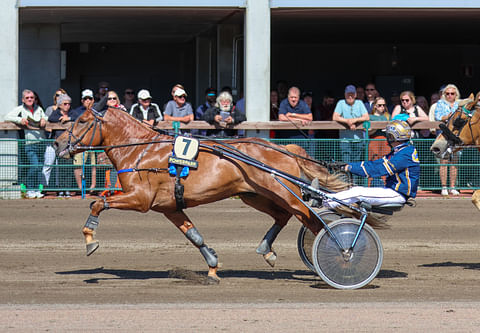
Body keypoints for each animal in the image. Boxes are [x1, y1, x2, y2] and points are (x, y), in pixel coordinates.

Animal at [54, 105, 358, 282]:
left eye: (82, 120)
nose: (57, 143)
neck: (141, 150)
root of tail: (284, 148)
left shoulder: (140, 200)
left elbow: (98, 203)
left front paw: (90, 239)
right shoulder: (169, 207)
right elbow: (194, 235)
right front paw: (212, 266)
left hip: (283, 192)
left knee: (312, 220)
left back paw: (337, 255)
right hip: (255, 195)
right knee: (285, 217)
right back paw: (267, 251)